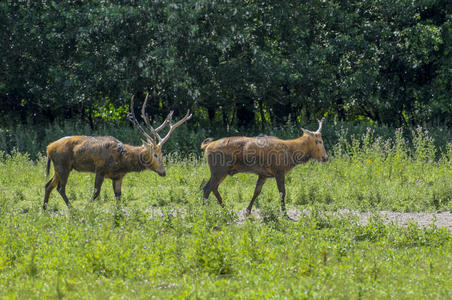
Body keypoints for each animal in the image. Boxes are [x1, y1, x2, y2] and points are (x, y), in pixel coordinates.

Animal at [42, 95, 191, 210]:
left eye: (162, 154)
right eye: (155, 154)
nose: (163, 172)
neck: (123, 162)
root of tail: (48, 148)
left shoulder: (118, 177)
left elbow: (118, 197)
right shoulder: (100, 169)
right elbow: (96, 193)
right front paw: (88, 208)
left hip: (58, 167)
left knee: (48, 185)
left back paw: (44, 208)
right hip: (63, 165)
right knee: (60, 188)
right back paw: (71, 208)